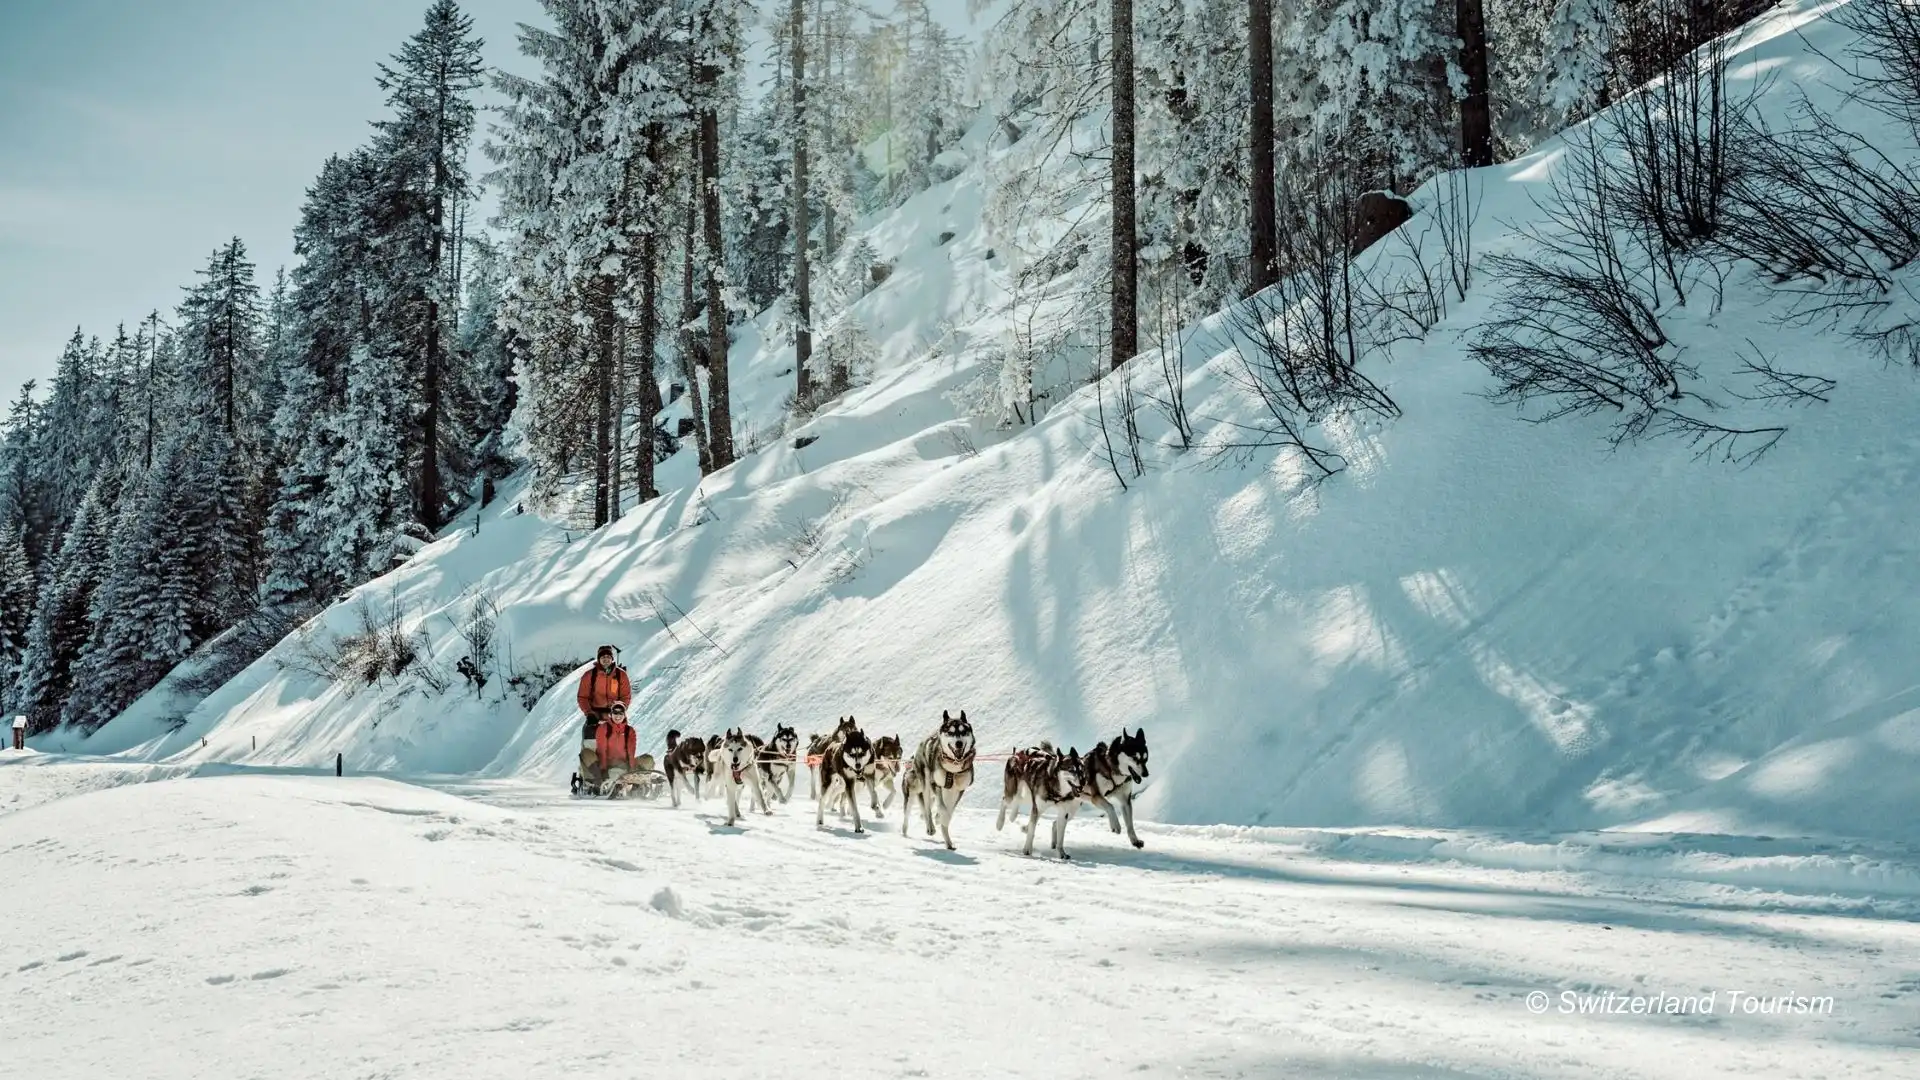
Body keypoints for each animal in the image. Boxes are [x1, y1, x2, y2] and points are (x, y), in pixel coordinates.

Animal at [898, 711, 975, 853]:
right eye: (950, 732)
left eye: (963, 731)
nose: (959, 743)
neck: (953, 769)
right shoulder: (936, 785)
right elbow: (943, 809)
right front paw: (940, 817)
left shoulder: (959, 790)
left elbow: (950, 810)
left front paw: (941, 819)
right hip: (924, 782)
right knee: (924, 808)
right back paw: (927, 827)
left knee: (928, 807)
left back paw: (947, 841)